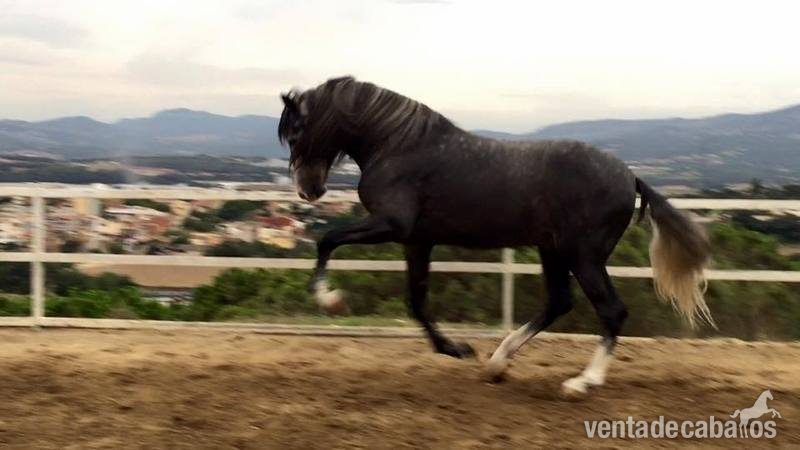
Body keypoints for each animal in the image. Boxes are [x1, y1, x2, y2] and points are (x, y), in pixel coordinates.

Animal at [278, 76, 713, 395]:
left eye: (296, 133)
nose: (308, 191)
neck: (398, 146)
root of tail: (630, 177)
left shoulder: (392, 225)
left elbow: (327, 240)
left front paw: (330, 299)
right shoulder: (417, 240)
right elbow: (416, 300)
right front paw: (455, 349)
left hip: (583, 256)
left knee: (611, 310)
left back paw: (582, 382)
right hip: (553, 250)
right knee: (559, 302)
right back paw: (497, 363)